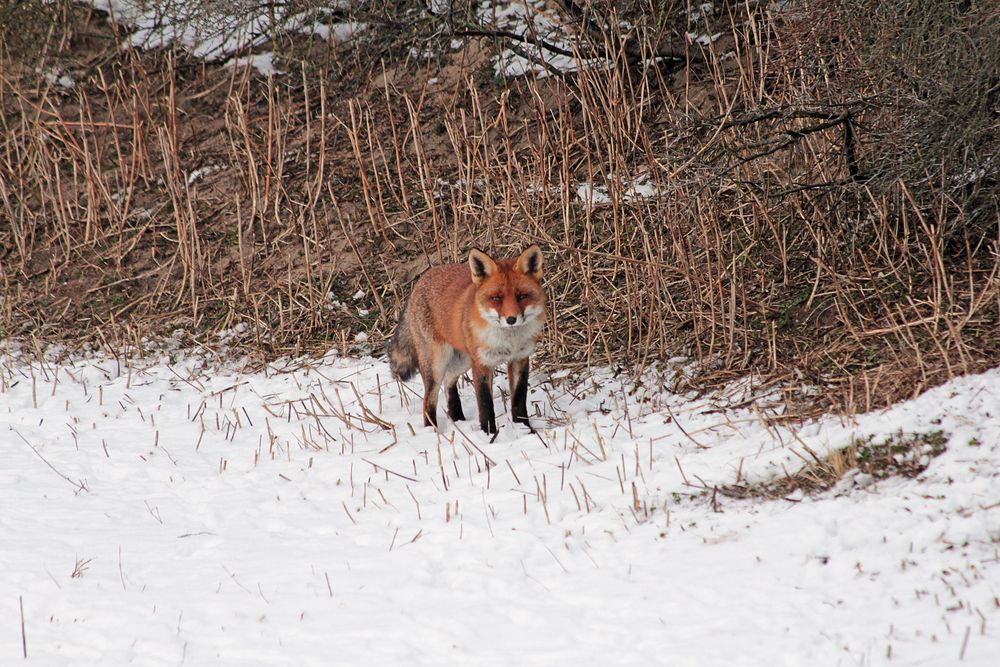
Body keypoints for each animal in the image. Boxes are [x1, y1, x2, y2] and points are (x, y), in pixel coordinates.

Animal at [388, 244, 548, 434]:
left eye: (522, 296)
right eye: (496, 298)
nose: (511, 319)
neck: (508, 341)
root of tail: (421, 280)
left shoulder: (520, 359)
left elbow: (519, 401)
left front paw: (526, 430)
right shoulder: (481, 364)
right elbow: (486, 405)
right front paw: (489, 434)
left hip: (462, 361)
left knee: (449, 383)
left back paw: (457, 418)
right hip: (437, 365)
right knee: (429, 401)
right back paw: (433, 432)